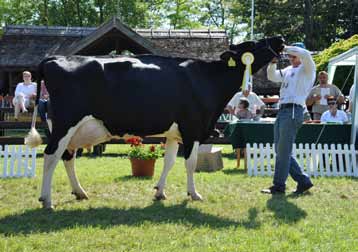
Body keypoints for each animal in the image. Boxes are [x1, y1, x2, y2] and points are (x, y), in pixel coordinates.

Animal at [25, 36, 284, 209]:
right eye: (253, 45)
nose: (280, 39)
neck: (208, 78)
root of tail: (54, 58)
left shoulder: (173, 133)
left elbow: (168, 162)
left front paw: (160, 192)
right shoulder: (192, 129)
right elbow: (190, 164)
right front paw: (194, 194)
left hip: (69, 130)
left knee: (67, 157)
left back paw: (80, 192)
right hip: (64, 125)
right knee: (51, 156)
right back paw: (47, 200)